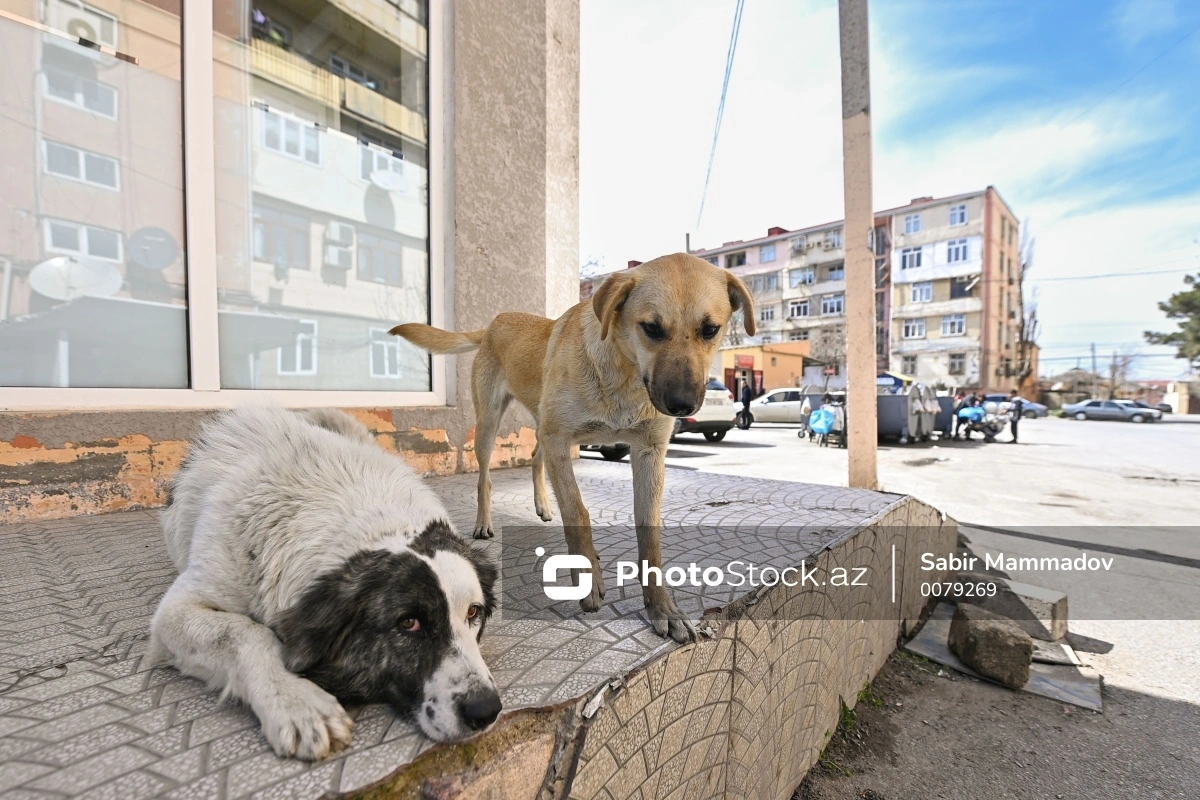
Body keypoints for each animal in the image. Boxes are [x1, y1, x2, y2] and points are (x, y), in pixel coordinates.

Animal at [148, 410, 501, 762]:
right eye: (409, 623)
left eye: (473, 613)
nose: (486, 710)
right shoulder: (175, 612)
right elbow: (245, 633)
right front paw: (297, 702)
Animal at [388, 253, 753, 642]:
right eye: (651, 328)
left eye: (710, 330)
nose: (682, 405)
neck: (624, 375)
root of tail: (492, 324)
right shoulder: (560, 440)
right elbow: (577, 512)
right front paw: (588, 578)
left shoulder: (647, 452)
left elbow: (649, 534)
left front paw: (663, 608)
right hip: (491, 424)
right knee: (484, 478)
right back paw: (484, 522)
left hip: (541, 427)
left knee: (536, 461)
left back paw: (544, 506)